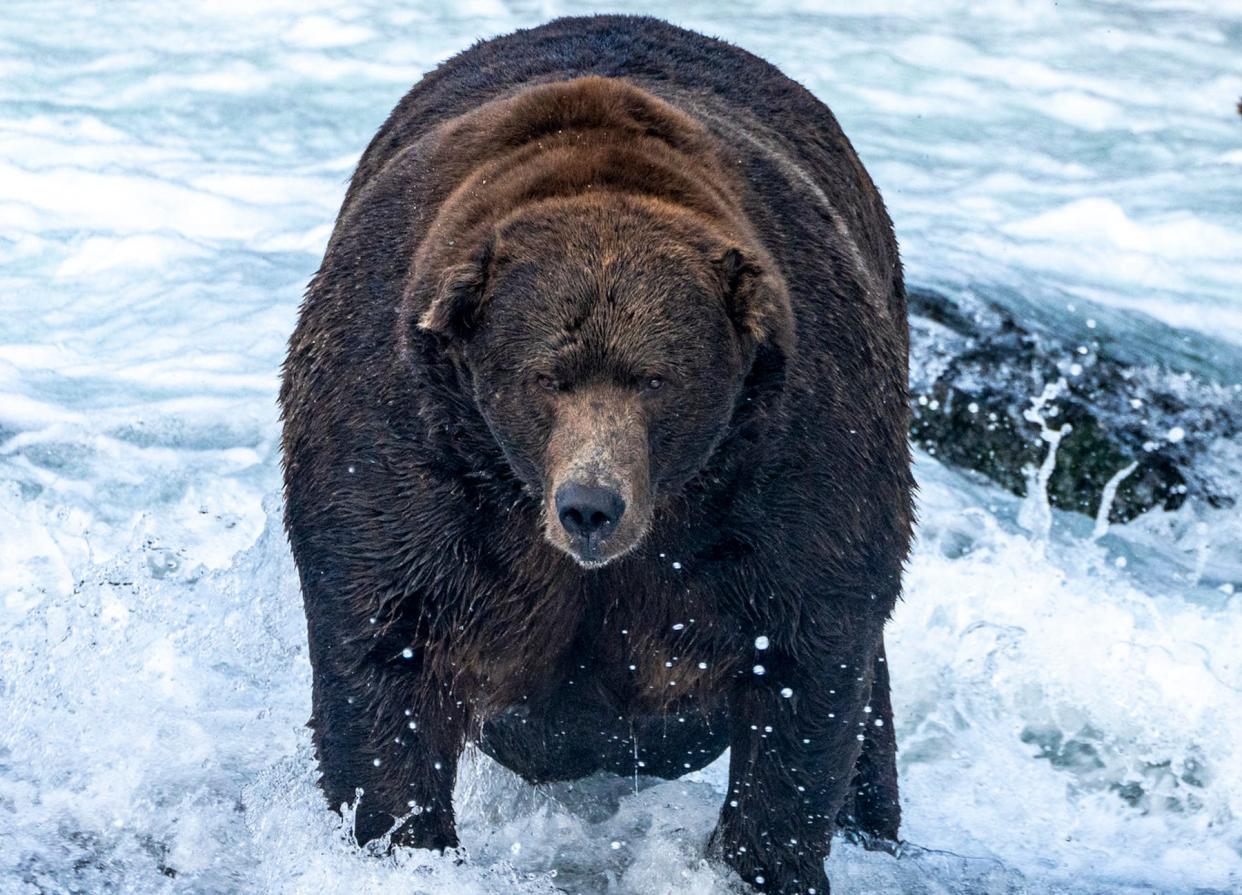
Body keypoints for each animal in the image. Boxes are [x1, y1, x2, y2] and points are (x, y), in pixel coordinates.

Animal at [281, 13, 914, 893]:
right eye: (546, 374)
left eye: (656, 377)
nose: (590, 505)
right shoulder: (407, 444)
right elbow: (385, 647)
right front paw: (405, 837)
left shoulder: (795, 453)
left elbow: (804, 662)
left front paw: (767, 857)